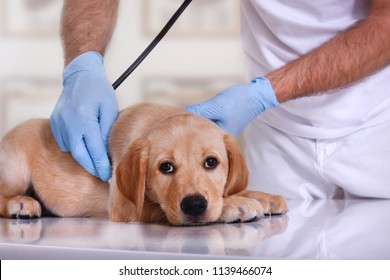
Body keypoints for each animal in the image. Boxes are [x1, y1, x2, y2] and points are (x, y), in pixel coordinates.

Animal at [0, 103, 286, 225]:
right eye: (165, 167)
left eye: (211, 162)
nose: (194, 206)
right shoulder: (124, 208)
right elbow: (160, 206)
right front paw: (235, 204)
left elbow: (234, 189)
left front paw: (263, 197)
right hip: (16, 166)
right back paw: (21, 203)